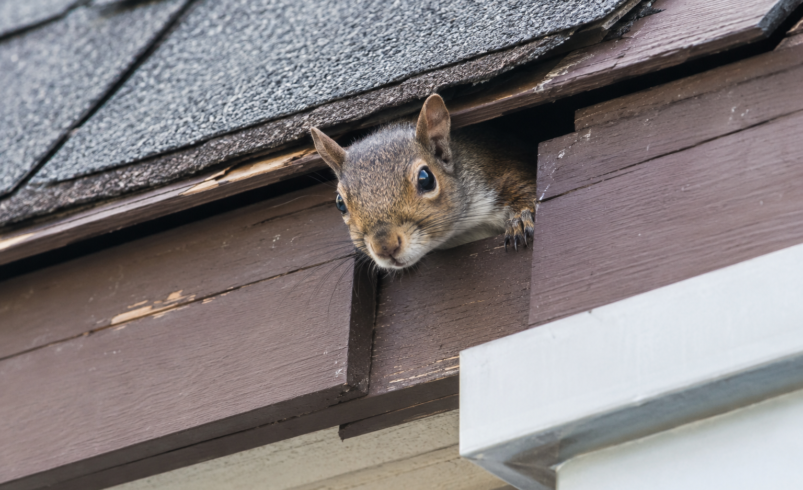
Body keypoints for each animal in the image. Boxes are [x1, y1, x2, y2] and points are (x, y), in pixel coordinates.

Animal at [310, 94, 537, 270]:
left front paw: (519, 220)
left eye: (426, 179)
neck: (462, 231)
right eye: (340, 203)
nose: (385, 246)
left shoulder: (499, 169)